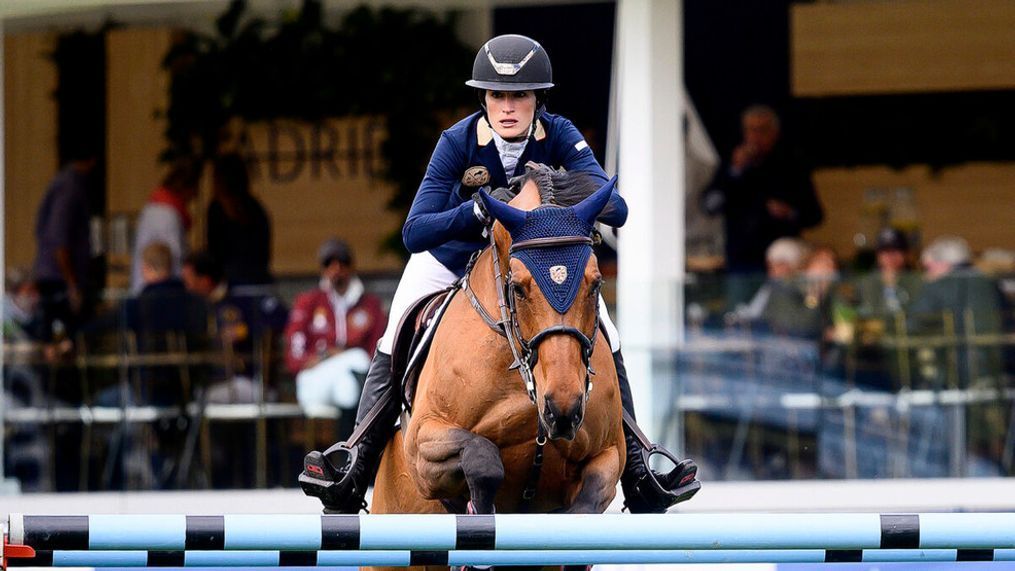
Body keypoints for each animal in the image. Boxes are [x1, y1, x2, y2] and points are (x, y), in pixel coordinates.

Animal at [373, 173, 625, 527]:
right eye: (517, 288)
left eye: (596, 283)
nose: (562, 409)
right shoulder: (423, 446)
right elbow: (483, 460)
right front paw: (479, 511)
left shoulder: (609, 453)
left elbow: (587, 501)